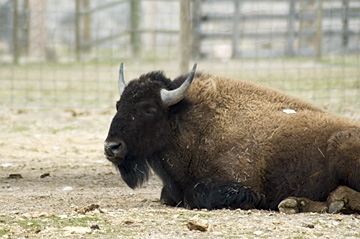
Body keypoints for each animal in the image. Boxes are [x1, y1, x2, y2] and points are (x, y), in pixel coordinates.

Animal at [104, 63, 360, 213]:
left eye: (149, 109)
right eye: (118, 104)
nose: (111, 147)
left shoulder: (235, 181)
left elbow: (195, 194)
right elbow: (166, 196)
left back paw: (338, 202)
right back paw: (295, 204)